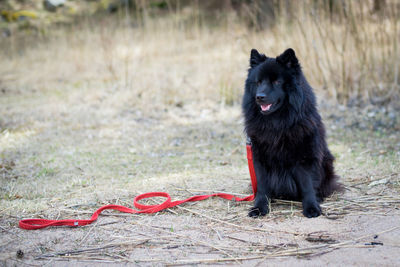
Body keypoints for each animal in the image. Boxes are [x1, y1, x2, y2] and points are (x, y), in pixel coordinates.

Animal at [242, 48, 342, 220]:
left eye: (277, 82)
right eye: (259, 82)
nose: (259, 97)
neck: (277, 123)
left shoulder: (304, 157)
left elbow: (307, 184)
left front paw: (311, 207)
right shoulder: (259, 157)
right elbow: (262, 186)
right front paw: (259, 208)